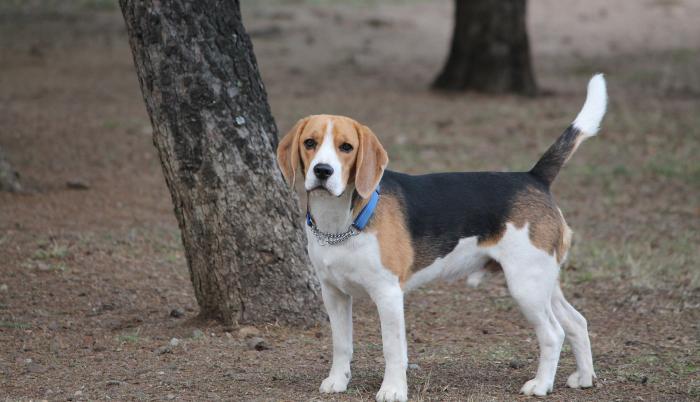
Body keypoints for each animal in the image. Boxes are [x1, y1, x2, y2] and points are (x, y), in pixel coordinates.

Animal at [276, 74, 604, 398]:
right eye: (309, 143)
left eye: (346, 147)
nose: (323, 171)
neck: (340, 223)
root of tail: (534, 177)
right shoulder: (334, 293)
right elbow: (341, 344)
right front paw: (338, 381)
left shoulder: (388, 294)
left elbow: (392, 349)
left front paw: (393, 389)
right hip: (544, 280)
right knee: (577, 322)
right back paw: (585, 377)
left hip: (526, 285)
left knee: (553, 332)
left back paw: (541, 385)